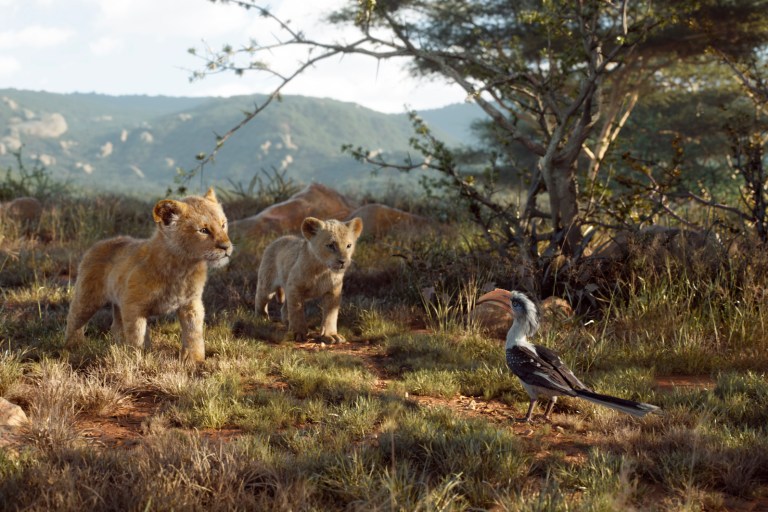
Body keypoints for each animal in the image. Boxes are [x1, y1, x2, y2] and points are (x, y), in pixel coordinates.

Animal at [64, 188, 232, 362]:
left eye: (223, 225)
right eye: (203, 230)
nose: (226, 247)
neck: (183, 268)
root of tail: (98, 244)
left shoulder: (191, 304)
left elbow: (194, 333)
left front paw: (195, 360)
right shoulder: (133, 306)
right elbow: (136, 336)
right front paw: (136, 358)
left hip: (117, 302)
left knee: (116, 326)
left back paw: (117, 347)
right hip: (87, 298)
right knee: (74, 319)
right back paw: (72, 347)